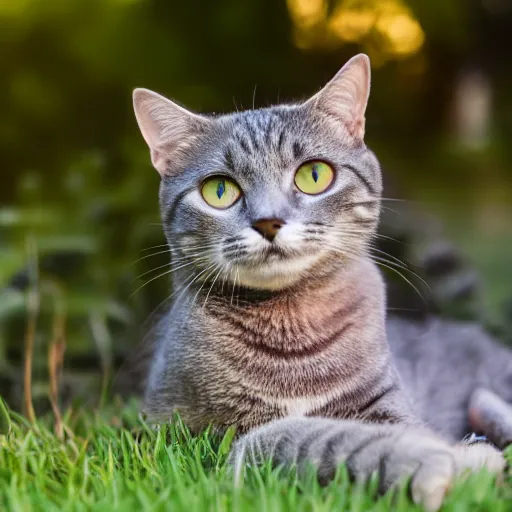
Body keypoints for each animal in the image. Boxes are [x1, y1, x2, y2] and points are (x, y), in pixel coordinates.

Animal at [131, 54, 512, 510]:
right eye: (219, 190)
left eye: (314, 175)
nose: (268, 221)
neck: (293, 324)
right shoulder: (191, 441)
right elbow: (290, 436)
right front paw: (438, 461)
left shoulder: (387, 401)